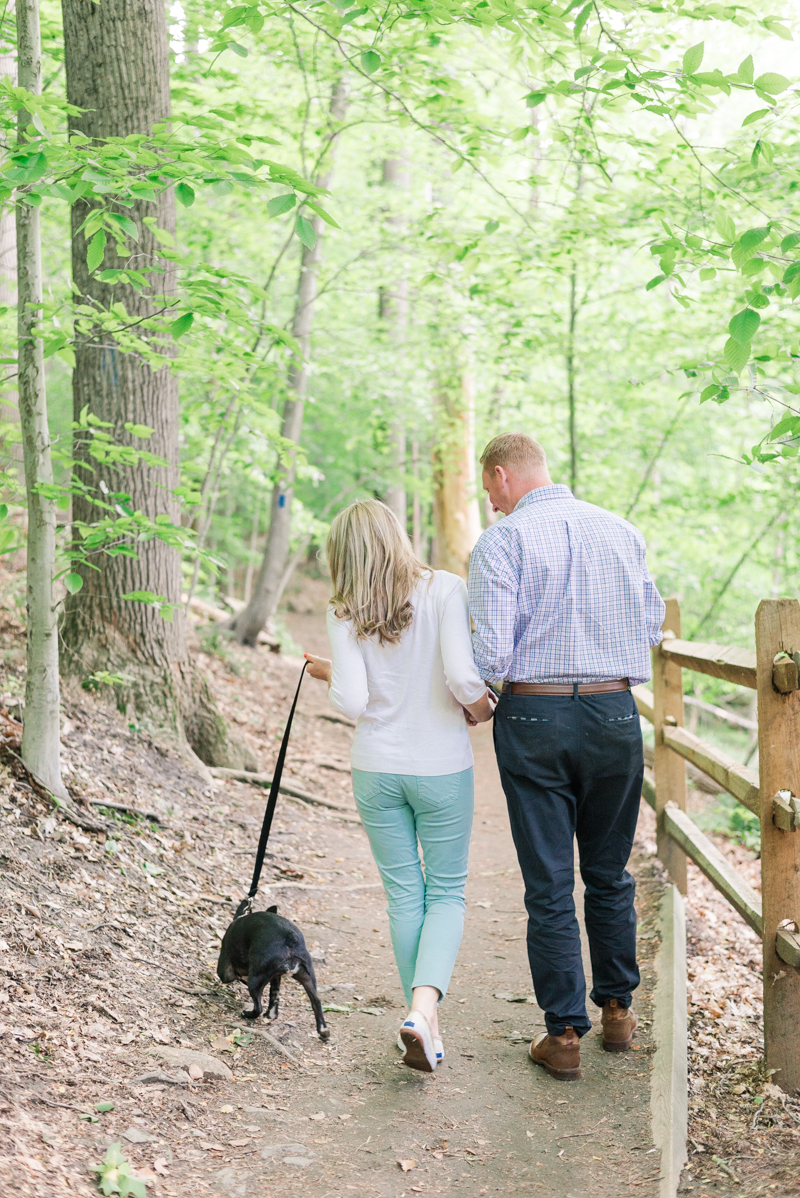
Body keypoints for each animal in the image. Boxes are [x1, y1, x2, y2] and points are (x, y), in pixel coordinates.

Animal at [215, 900, 328, 1039]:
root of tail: (290, 938)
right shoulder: (276, 976)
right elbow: (274, 992)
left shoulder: (226, 970)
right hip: (308, 977)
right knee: (315, 1002)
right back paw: (322, 1030)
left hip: (255, 979)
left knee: (258, 1007)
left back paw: (247, 1014)